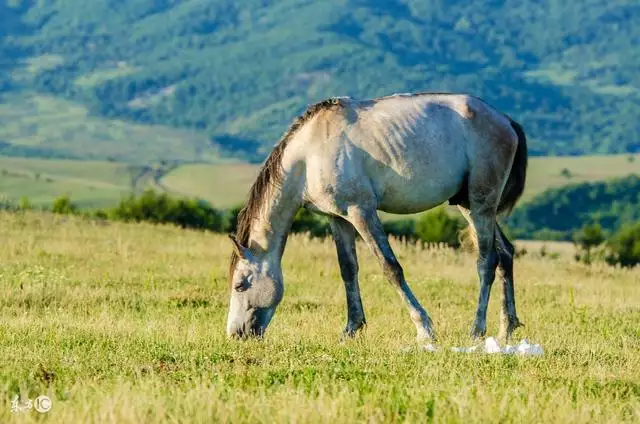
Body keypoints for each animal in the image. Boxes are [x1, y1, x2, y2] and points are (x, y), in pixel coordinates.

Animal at [228, 91, 528, 342]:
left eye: (240, 285)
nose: (235, 334)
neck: (309, 154)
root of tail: (506, 121)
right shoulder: (338, 219)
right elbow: (348, 270)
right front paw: (351, 329)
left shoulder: (361, 212)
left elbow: (390, 267)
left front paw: (424, 329)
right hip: (469, 206)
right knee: (506, 254)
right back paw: (507, 328)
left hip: (480, 205)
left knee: (487, 262)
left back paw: (477, 330)